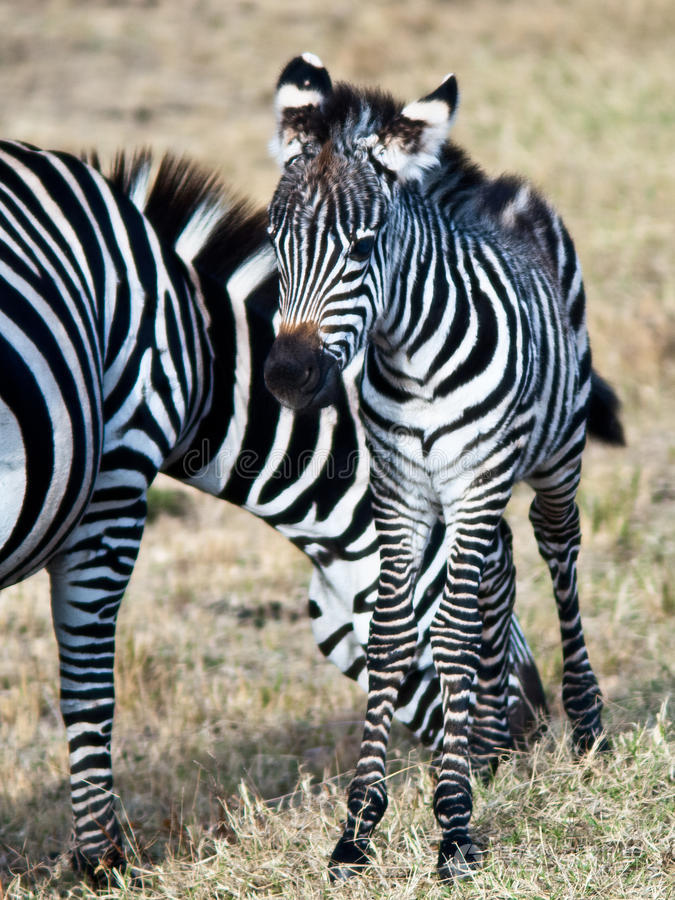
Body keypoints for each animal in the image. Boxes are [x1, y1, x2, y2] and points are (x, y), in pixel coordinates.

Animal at [0, 144, 544, 876]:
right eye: (493, 589)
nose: (536, 730)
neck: (198, 347)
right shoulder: (117, 476)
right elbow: (89, 682)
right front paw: (103, 860)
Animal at [266, 54, 628, 880]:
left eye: (363, 246)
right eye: (273, 242)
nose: (289, 378)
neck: (410, 357)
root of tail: (493, 189)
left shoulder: (470, 485)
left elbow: (453, 632)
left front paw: (455, 824)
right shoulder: (401, 498)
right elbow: (394, 636)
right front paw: (359, 828)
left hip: (551, 458)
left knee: (557, 553)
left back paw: (585, 728)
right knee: (500, 564)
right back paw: (490, 740)